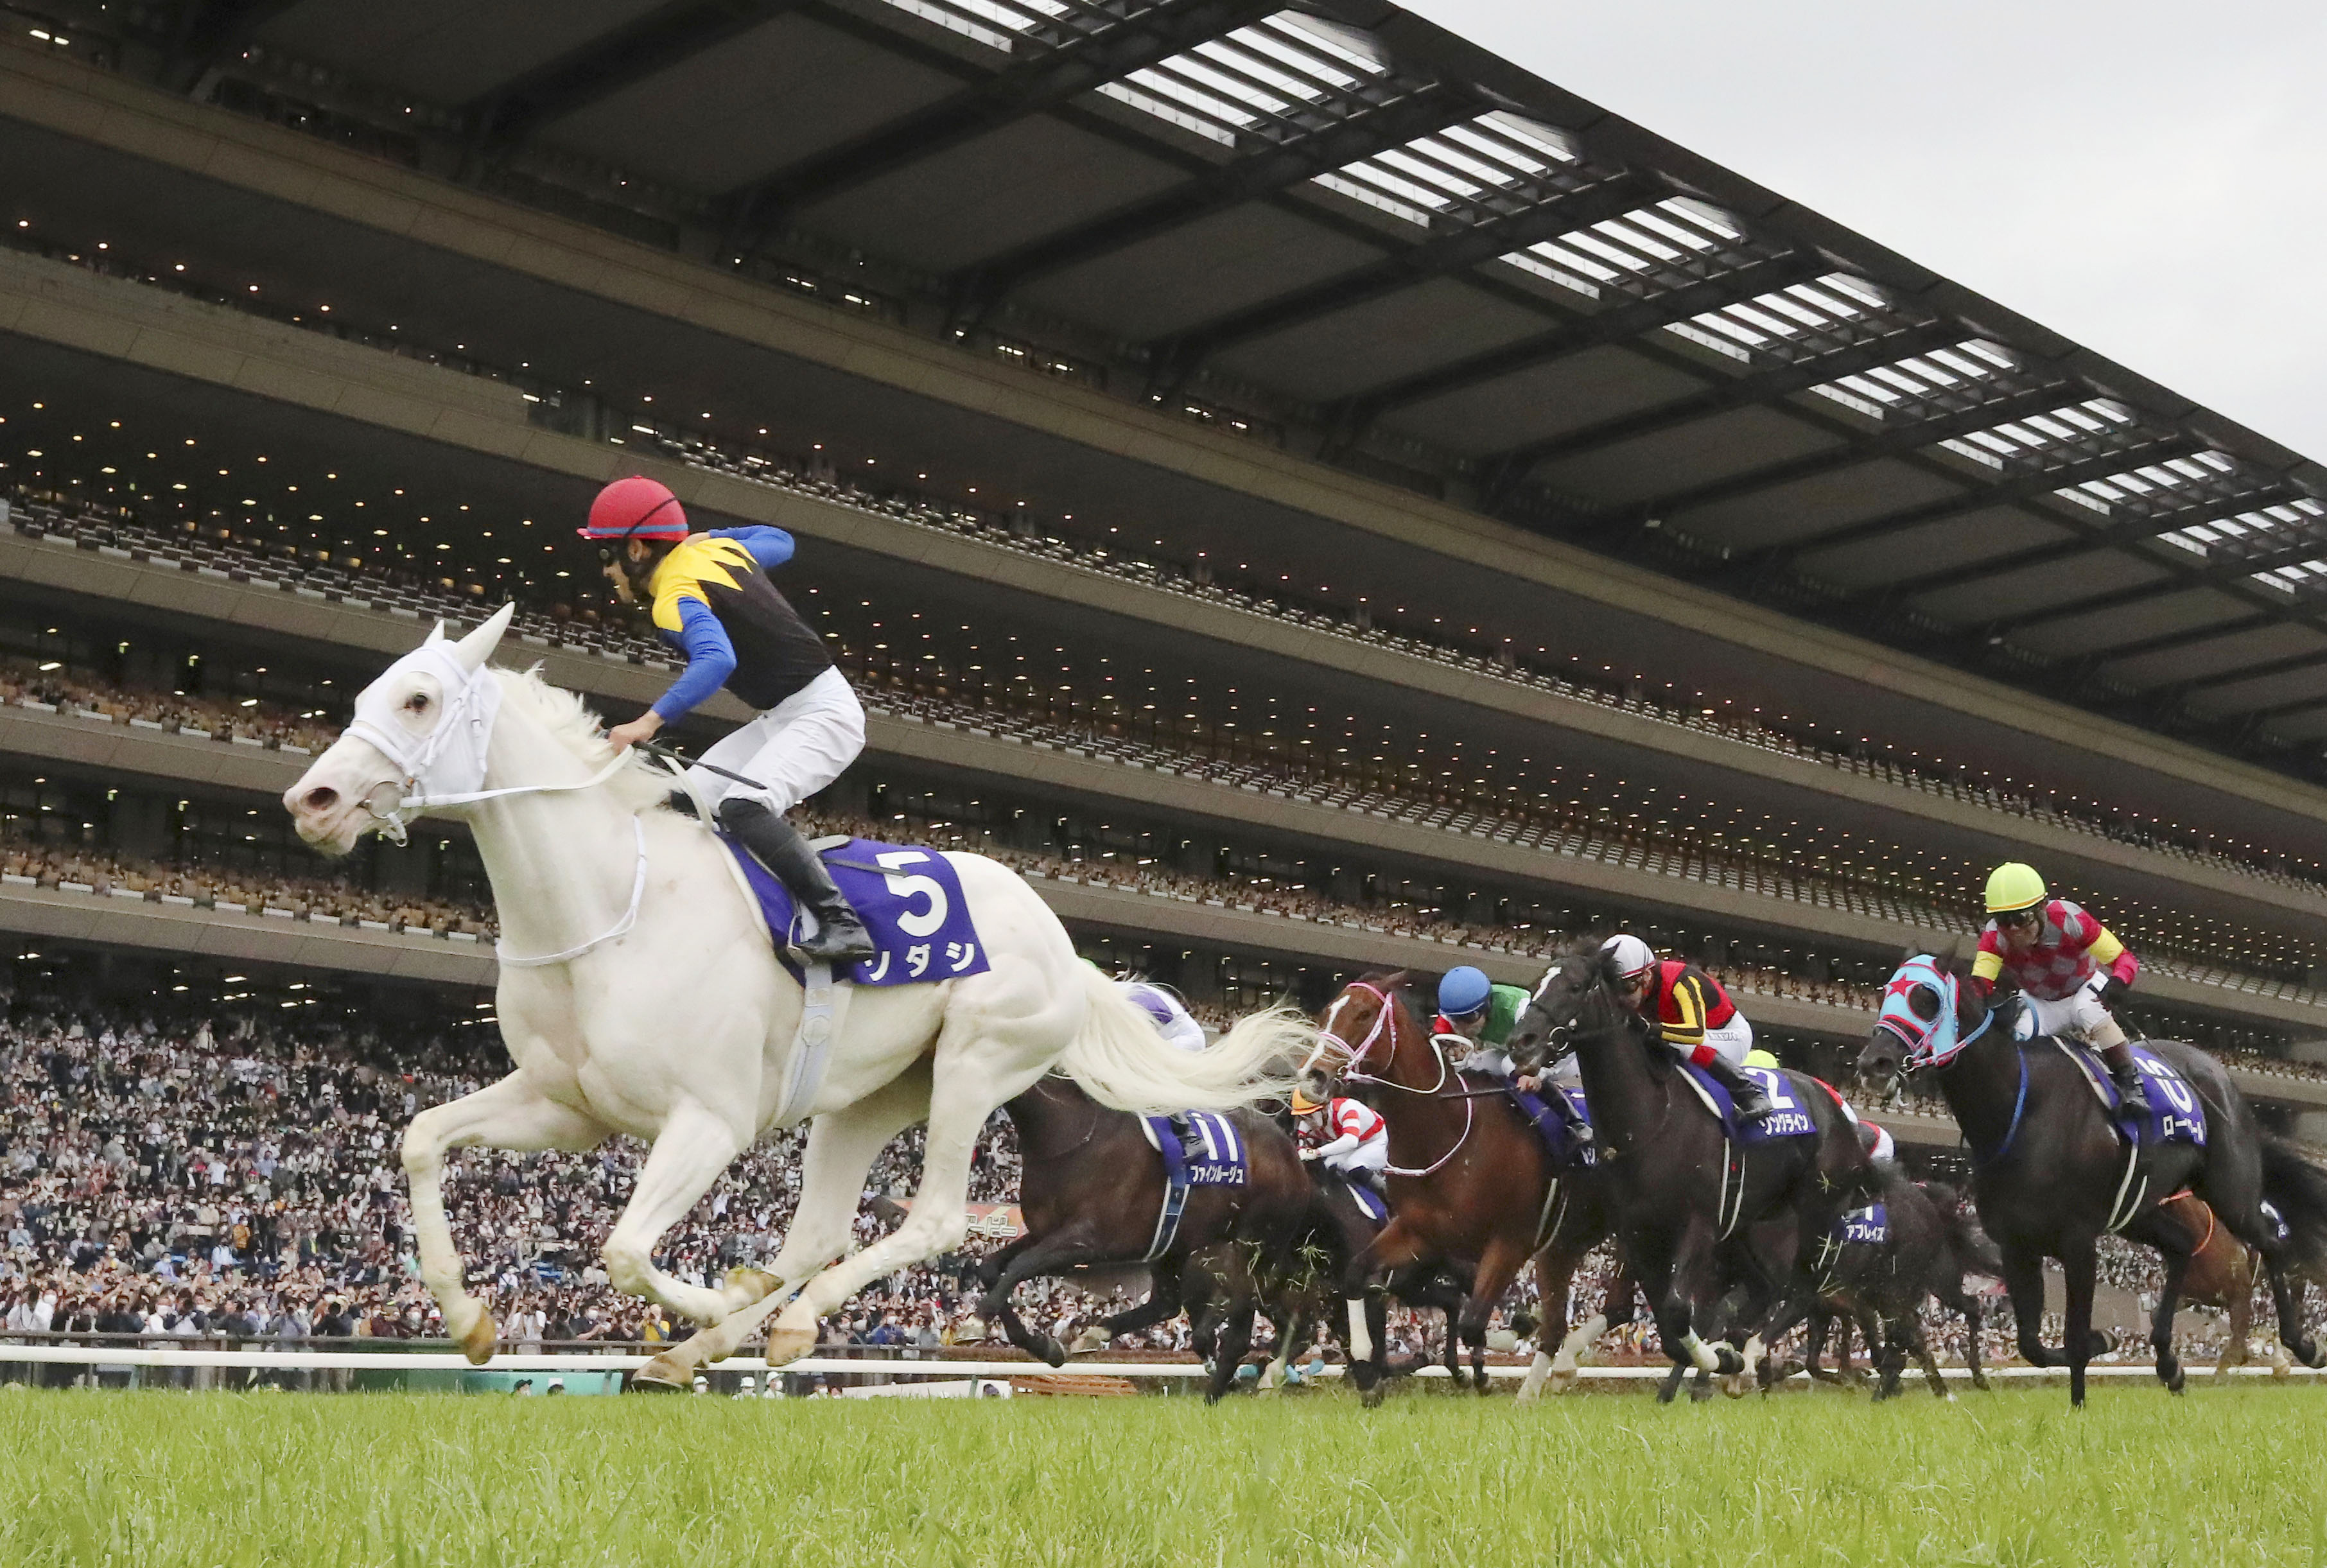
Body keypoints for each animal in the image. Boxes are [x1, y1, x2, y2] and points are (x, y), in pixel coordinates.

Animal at [281, 605, 1303, 1386]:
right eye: (365, 696)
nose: (311, 799)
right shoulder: (563, 1106)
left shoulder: (709, 1119)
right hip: (867, 1097)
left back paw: (780, 1322)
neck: (611, 906)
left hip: (977, 1062)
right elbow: (421, 1140)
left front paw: (715, 1295)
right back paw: (717, 1343)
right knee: (815, 1232)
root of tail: (1063, 941)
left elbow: (625, 1249)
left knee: (932, 1216)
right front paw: (469, 1317)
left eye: (419, 699)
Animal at [963, 1079, 1330, 1395]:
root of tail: (1293, 1158)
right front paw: (1045, 1346)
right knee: (1170, 1304)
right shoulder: (1046, 1232)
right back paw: (1097, 1334)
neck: (1071, 1132)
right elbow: (992, 1268)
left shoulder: (1088, 1241)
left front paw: (978, 1323)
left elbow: (1019, 1267)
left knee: (1245, 1328)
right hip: (1174, 1247)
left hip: (1254, 1248)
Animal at [1312, 972, 1619, 1395]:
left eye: (1363, 1014)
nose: (1315, 1073)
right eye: (1327, 1010)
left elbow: (1475, 1322)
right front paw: (1364, 1362)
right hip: (1569, 1242)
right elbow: (1358, 1276)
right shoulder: (1419, 1233)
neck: (1449, 1133)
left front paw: (1505, 1340)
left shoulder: (1511, 1241)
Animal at [1508, 935, 1870, 1395]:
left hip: (1816, 1216)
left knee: (1803, 1290)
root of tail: (1839, 1107)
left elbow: (1679, 1310)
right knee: (1767, 1288)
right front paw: (1716, 1359)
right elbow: (1664, 1322)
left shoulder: (1698, 1225)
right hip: (1752, 1226)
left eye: (1574, 987)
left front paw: (1720, 1359)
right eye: (1535, 984)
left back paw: (1752, 1358)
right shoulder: (1638, 1233)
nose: (1520, 1042)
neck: (1648, 1121)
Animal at [1852, 944, 2327, 1395]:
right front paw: (2108, 1342)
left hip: (2230, 1191)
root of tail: (2220, 1075)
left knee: (2272, 1243)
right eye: (1886, 991)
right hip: (2140, 1210)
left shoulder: (2078, 1241)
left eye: (1925, 997)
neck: (2019, 1110)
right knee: (2181, 1245)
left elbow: (2075, 1337)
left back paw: (2302, 1344)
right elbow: (2033, 1345)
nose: (1873, 1064)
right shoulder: (2017, 1245)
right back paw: (2168, 1361)